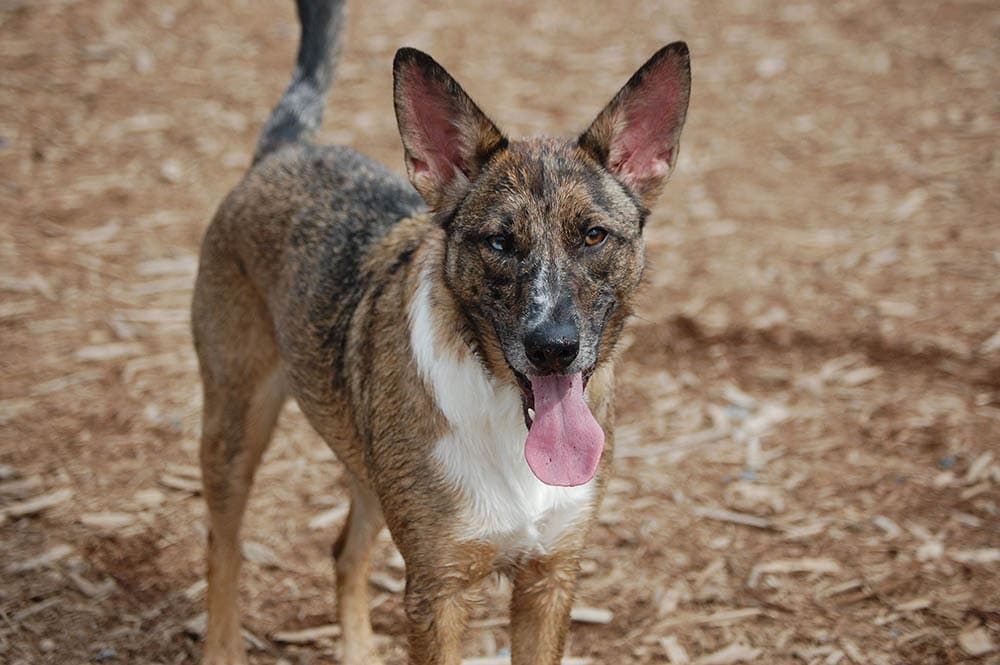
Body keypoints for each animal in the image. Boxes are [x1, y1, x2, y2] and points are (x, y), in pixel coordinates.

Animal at [189, 1, 688, 664]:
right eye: (499, 242)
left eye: (593, 236)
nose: (553, 349)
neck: (507, 418)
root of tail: (284, 152)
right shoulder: (438, 591)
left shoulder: (550, 579)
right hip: (234, 430)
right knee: (222, 546)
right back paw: (222, 644)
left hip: (370, 468)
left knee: (344, 552)